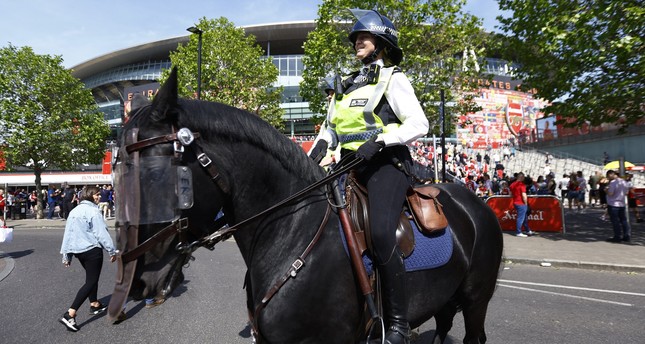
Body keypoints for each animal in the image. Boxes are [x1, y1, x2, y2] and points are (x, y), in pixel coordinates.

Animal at [109, 68, 504, 342]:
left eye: (155, 176)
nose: (139, 281)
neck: (293, 232)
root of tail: (477, 204)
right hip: (446, 298)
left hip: (476, 300)